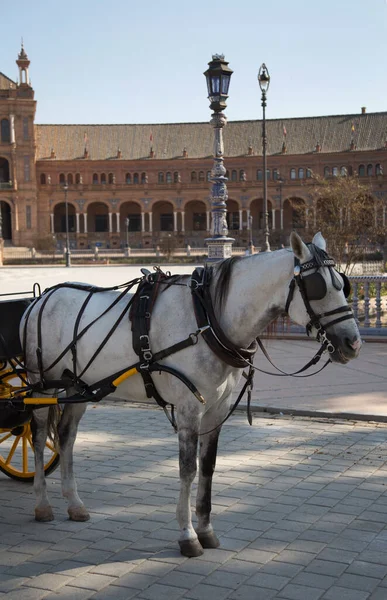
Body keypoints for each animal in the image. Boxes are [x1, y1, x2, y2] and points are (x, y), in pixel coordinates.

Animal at [20, 233, 360, 556]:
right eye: (317, 288)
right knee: (38, 436)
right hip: (41, 385)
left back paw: (74, 503)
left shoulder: (217, 410)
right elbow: (188, 469)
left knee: (66, 435)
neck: (208, 320)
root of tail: (41, 298)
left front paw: (206, 530)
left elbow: (207, 466)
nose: (353, 342)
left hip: (78, 386)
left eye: (343, 284)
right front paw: (187, 536)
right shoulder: (188, 409)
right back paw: (42, 504)